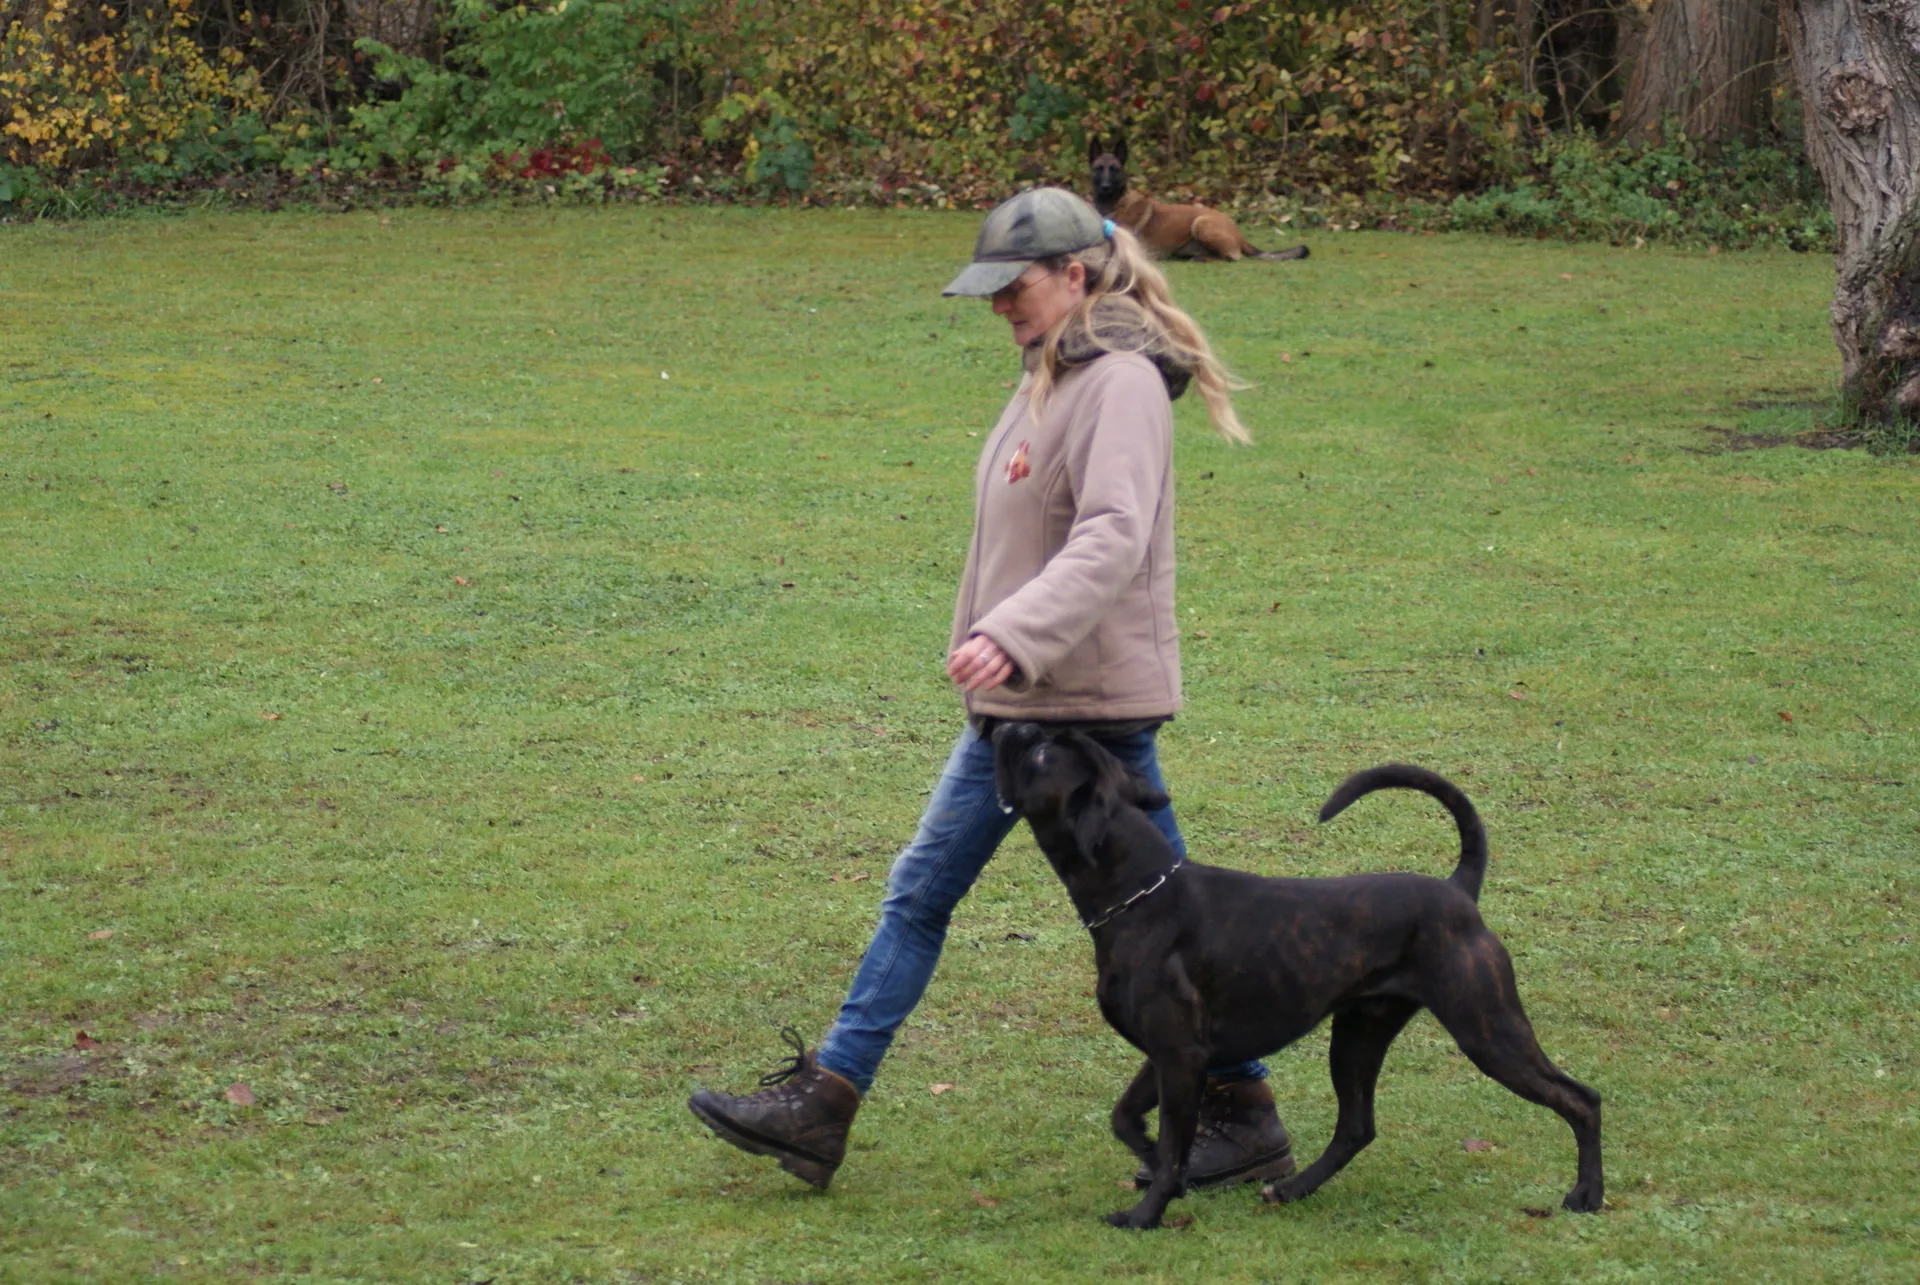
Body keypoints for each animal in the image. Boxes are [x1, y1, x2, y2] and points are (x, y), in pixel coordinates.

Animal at [990, 723, 1603, 1230]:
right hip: (1358, 1036)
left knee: (1582, 1098)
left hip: (1487, 1030)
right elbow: (1125, 1118)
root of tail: (1459, 891)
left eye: (1042, 754)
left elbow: (1170, 1148)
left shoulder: (1180, 1057)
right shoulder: (1168, 1056)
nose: (1010, 724)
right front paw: (1149, 1153)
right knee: (1356, 1128)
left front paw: (1146, 1214)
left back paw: (1587, 1196)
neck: (1140, 893)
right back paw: (1291, 1189)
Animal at [1089, 135, 1308, 263]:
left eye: (1114, 169)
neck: (1114, 204)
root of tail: (1238, 232)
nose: (1105, 187)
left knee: (1232, 257)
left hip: (1201, 223)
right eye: (1099, 169)